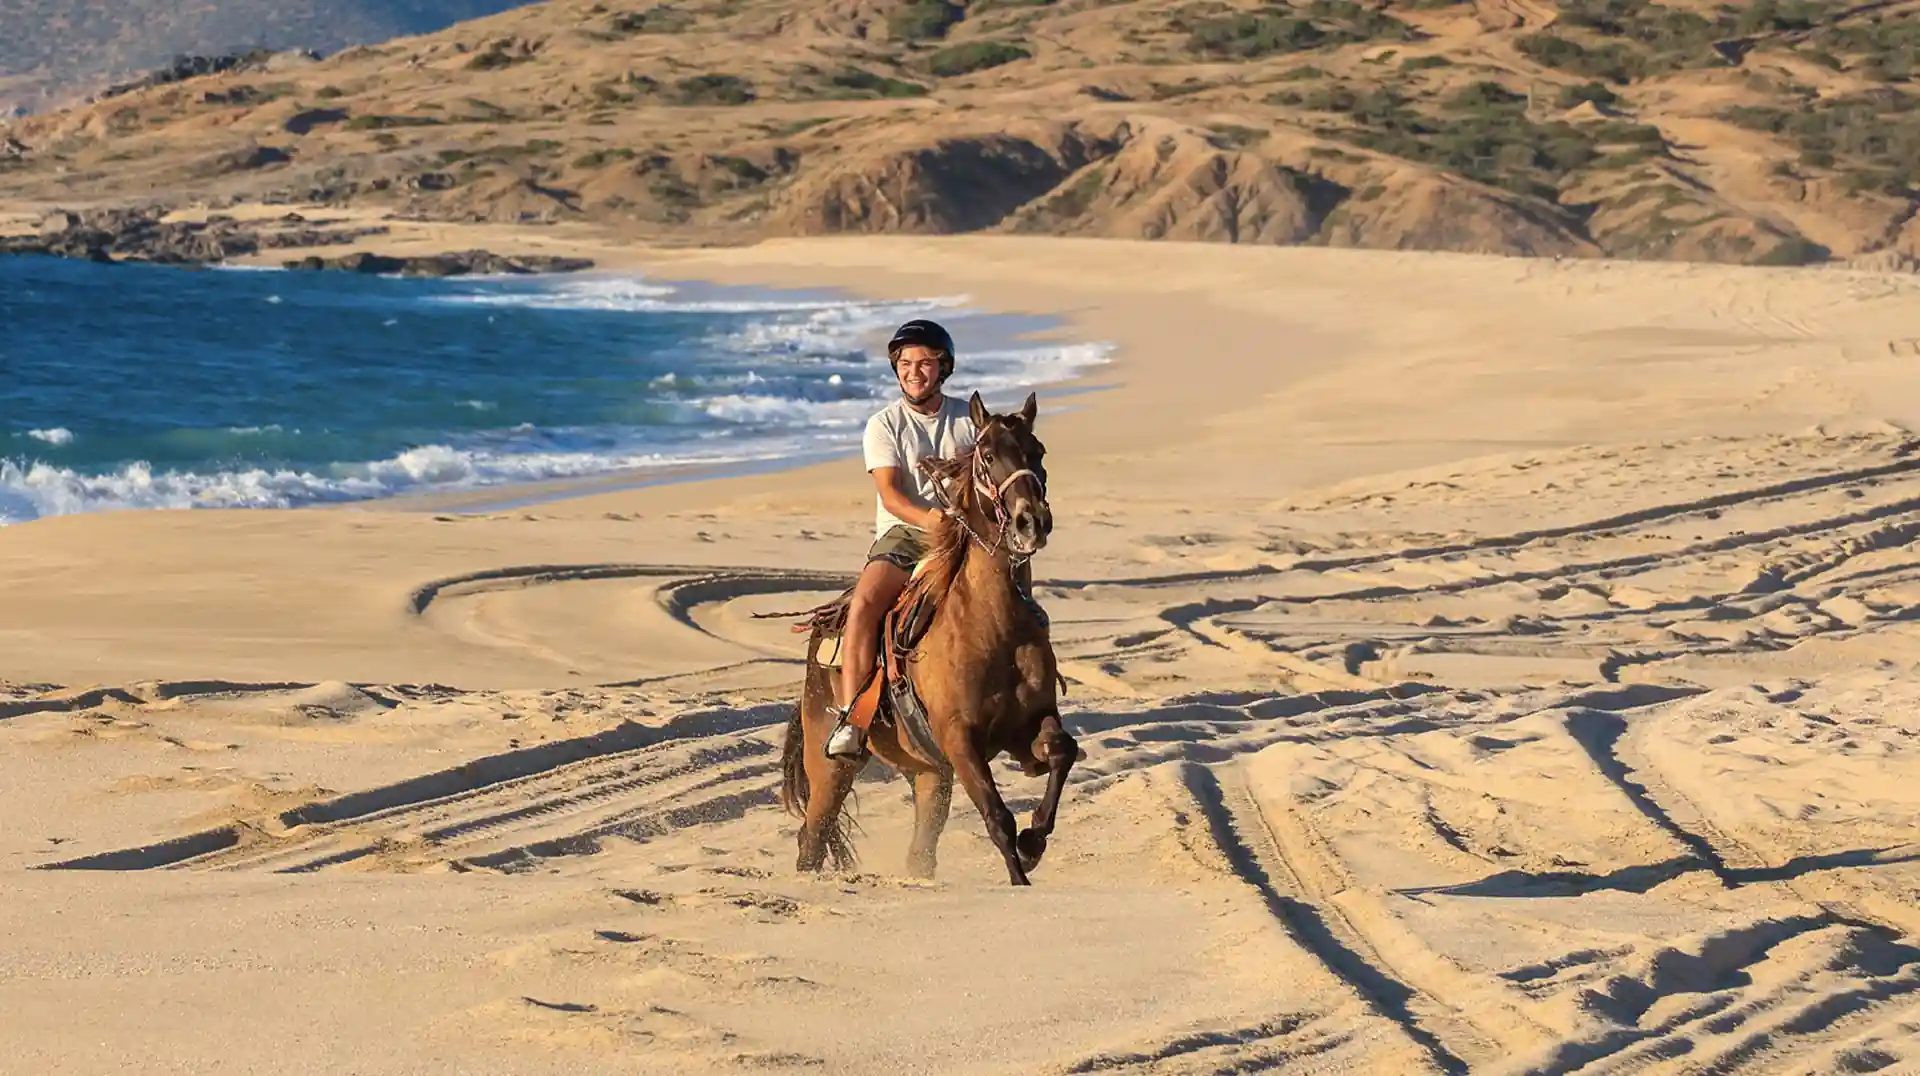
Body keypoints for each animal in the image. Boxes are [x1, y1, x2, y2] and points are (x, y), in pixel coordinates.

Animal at [768, 391, 1075, 886]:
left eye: (1039, 452)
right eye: (988, 456)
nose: (1031, 522)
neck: (993, 628)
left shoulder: (1029, 724)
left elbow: (1063, 751)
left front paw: (1034, 842)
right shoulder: (960, 740)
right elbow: (997, 816)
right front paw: (1020, 875)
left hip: (930, 775)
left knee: (920, 851)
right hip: (830, 769)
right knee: (812, 837)